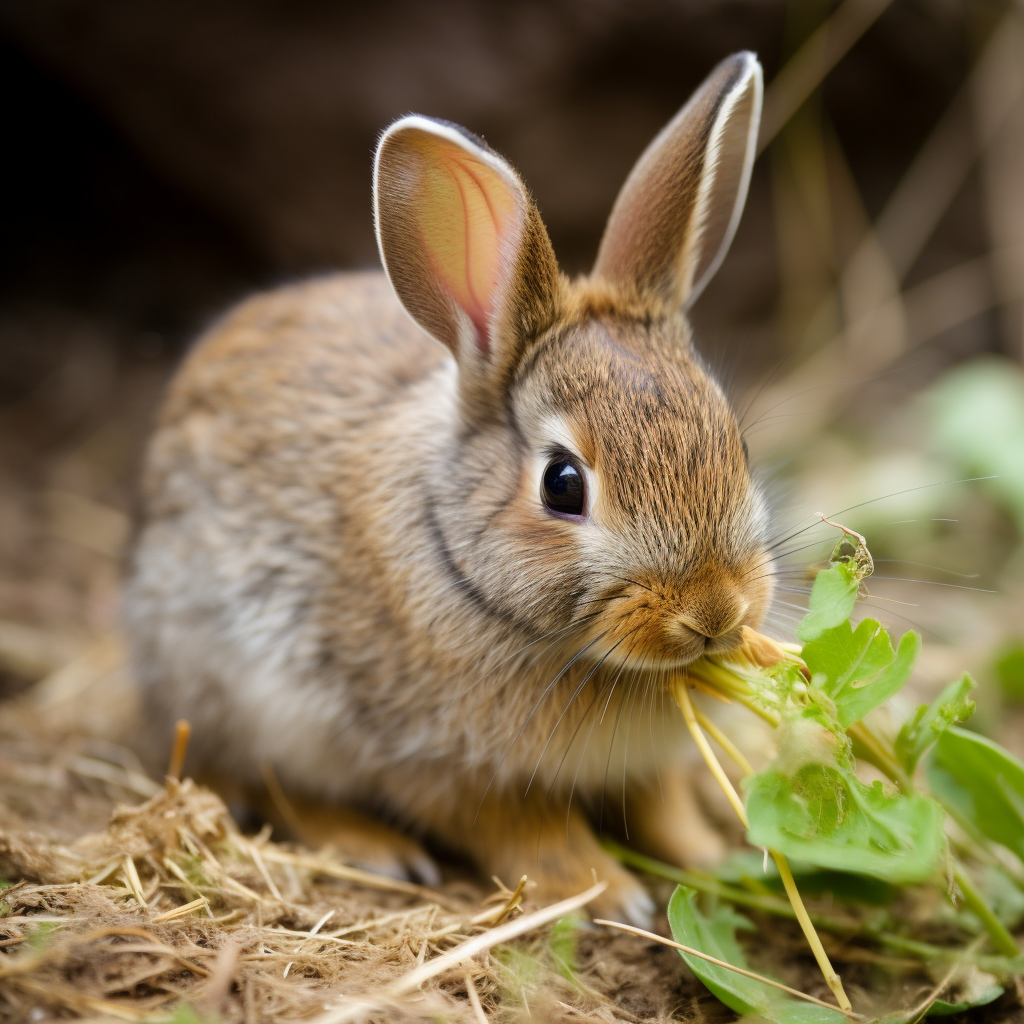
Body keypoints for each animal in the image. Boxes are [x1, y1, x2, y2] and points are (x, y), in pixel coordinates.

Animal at [121, 49, 770, 929]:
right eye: (563, 485)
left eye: (737, 441)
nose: (713, 614)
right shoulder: (436, 760)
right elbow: (526, 831)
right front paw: (610, 892)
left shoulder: (645, 768)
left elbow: (662, 805)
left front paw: (714, 855)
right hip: (240, 692)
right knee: (263, 782)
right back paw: (375, 847)